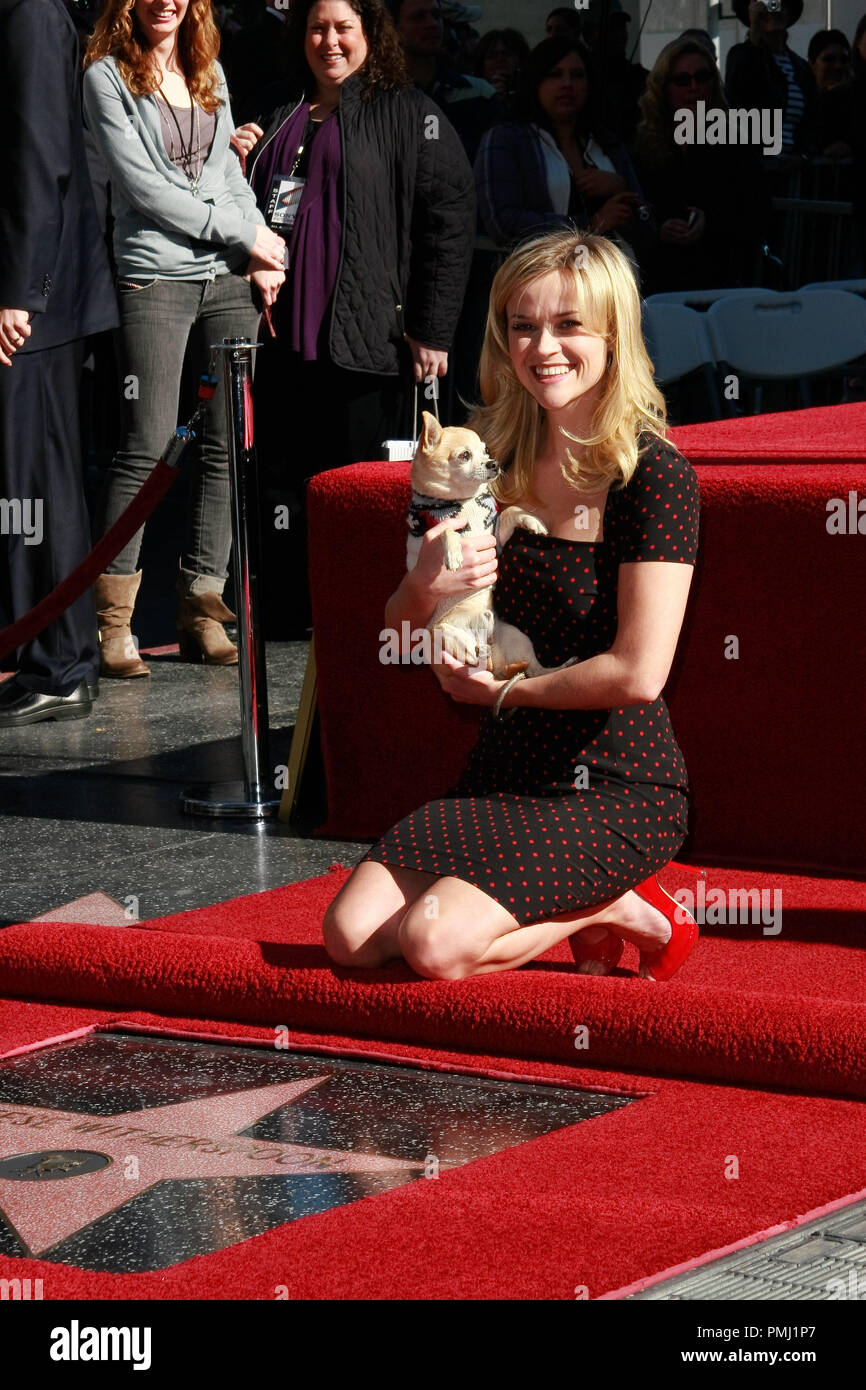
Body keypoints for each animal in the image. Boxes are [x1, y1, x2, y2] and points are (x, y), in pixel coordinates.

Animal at [408, 405, 556, 678]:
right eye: (465, 455)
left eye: (486, 451)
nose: (494, 463)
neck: (464, 502)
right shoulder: (425, 531)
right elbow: (448, 529)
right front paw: (454, 553)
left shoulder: (495, 540)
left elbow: (509, 513)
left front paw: (530, 520)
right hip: (435, 633)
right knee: (451, 638)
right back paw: (470, 650)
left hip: (513, 634)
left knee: (532, 669)